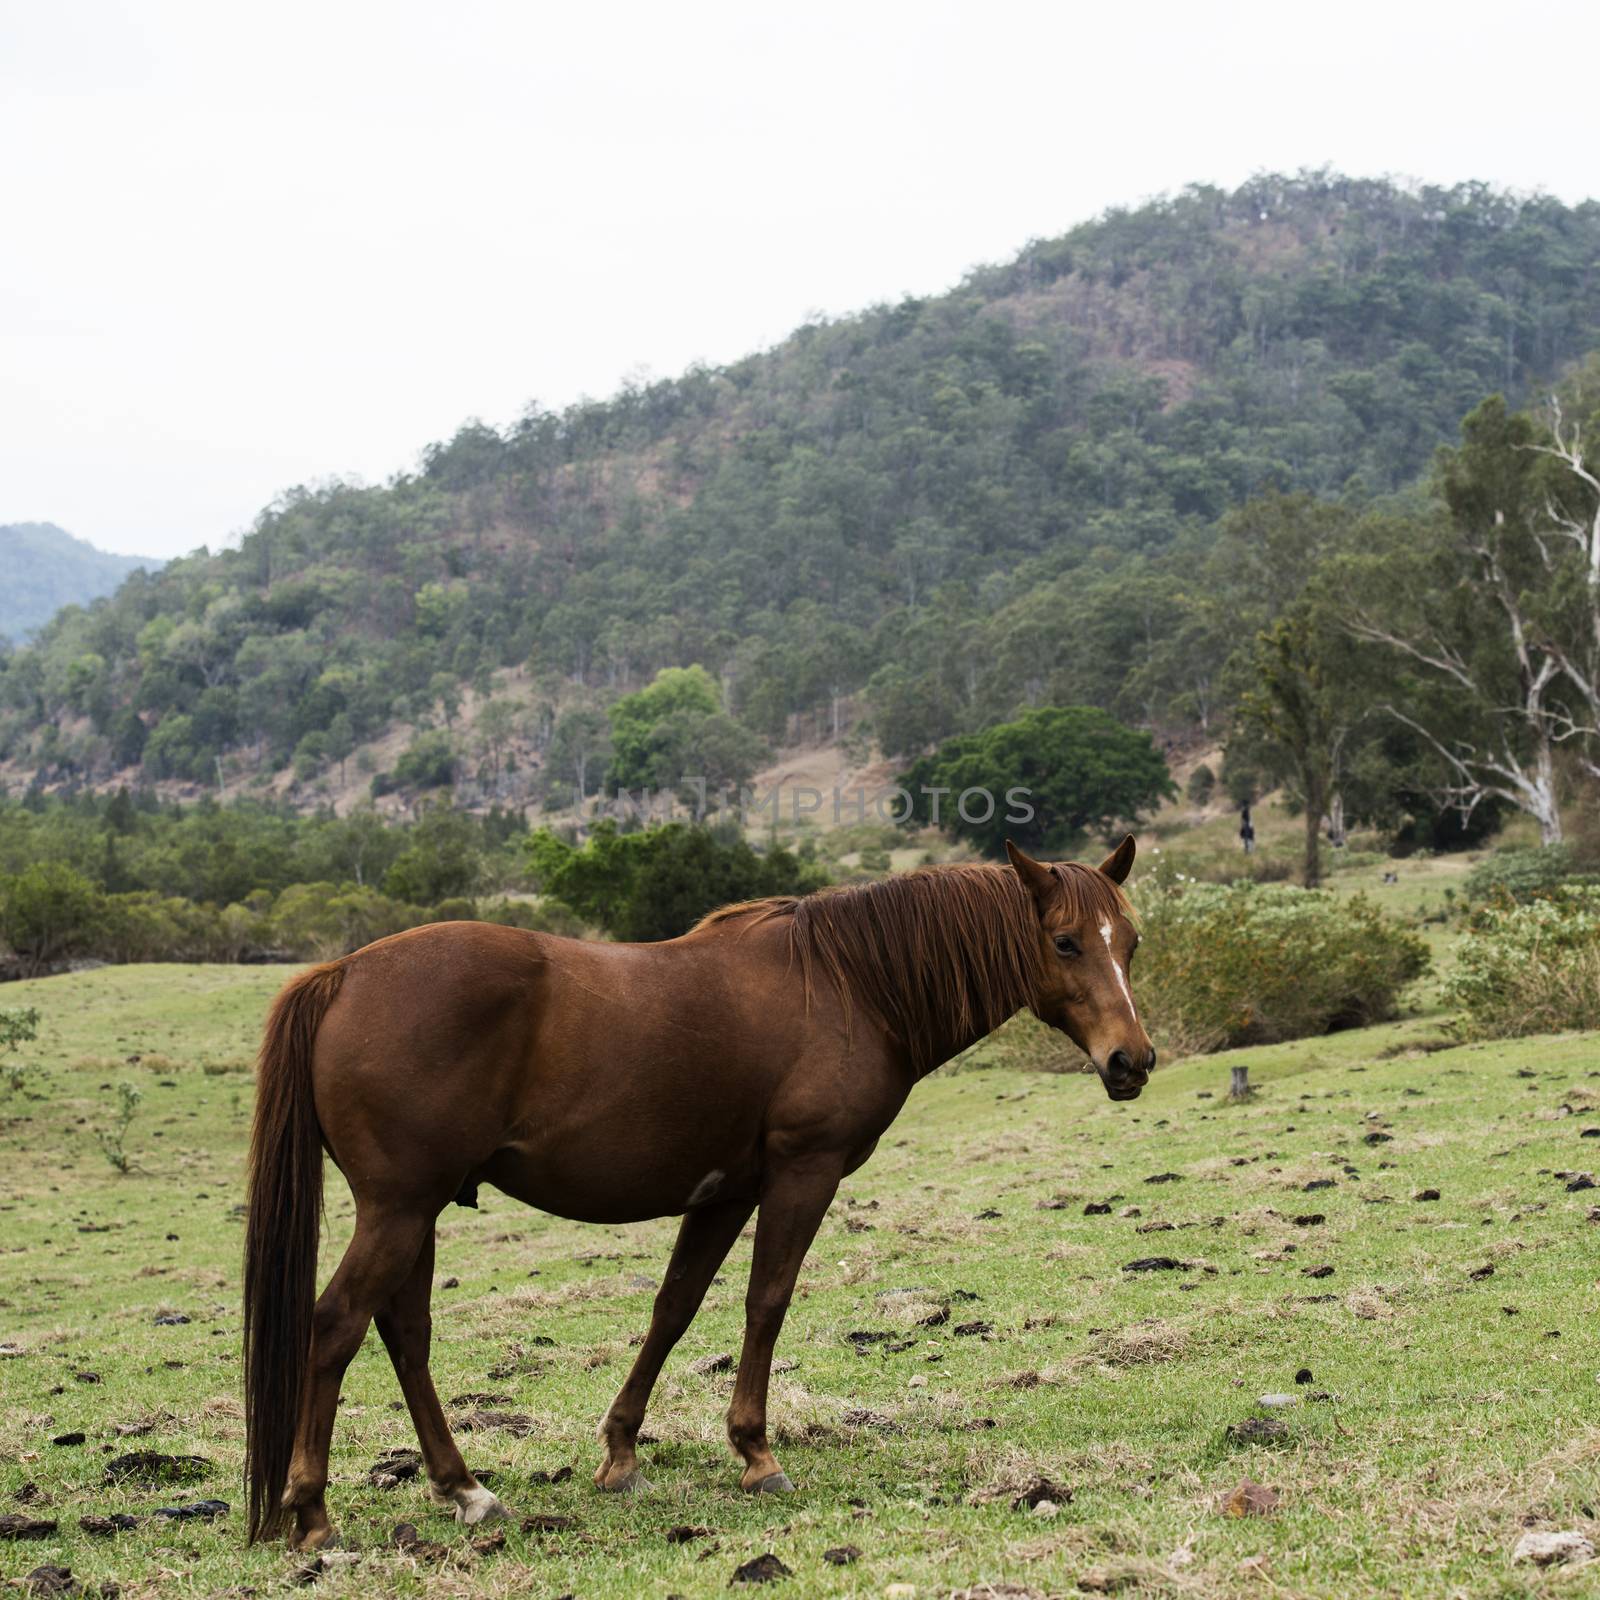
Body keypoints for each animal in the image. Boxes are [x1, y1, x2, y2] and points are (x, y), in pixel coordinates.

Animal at [243, 838, 1158, 1548]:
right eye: (1067, 942)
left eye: (1132, 942)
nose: (1132, 1061)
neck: (851, 982)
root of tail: (344, 971)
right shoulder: (802, 1172)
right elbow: (767, 1301)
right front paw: (756, 1454)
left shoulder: (724, 1194)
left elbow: (674, 1308)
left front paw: (621, 1455)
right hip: (399, 1210)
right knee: (336, 1325)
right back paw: (313, 1514)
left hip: (417, 1211)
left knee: (405, 1333)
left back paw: (464, 1488)